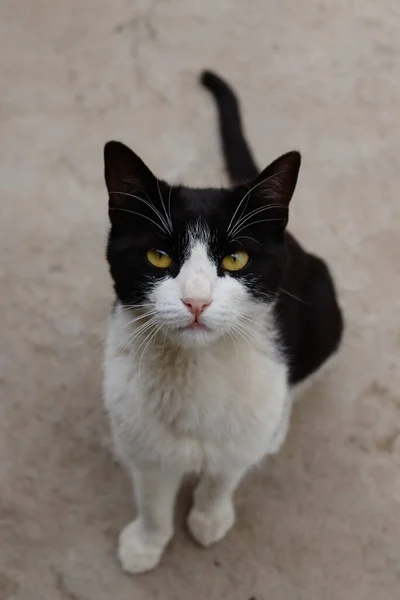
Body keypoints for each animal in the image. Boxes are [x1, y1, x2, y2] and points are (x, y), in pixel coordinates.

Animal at [101, 72, 342, 576]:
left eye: (235, 259)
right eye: (159, 255)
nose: (196, 301)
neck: (196, 371)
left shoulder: (243, 422)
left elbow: (225, 474)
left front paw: (210, 517)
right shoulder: (140, 438)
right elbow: (152, 497)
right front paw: (147, 543)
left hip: (324, 306)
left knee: (297, 379)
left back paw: (277, 427)